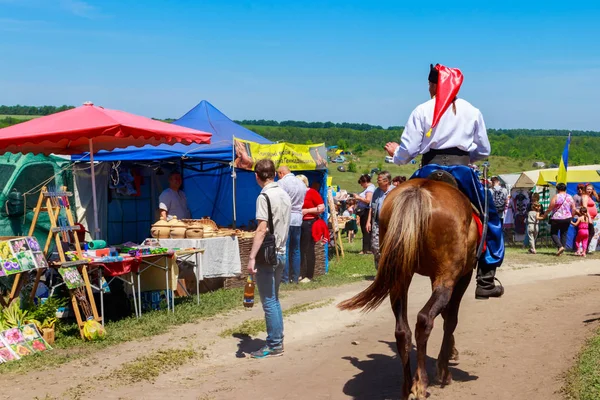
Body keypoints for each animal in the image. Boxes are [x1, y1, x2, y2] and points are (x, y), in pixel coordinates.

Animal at [338, 179, 478, 400]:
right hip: (447, 276)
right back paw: (420, 384)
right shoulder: (463, 276)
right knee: (425, 319)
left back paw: (407, 386)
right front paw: (444, 368)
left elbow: (445, 315)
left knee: (402, 330)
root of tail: (418, 191)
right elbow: (451, 319)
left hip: (400, 276)